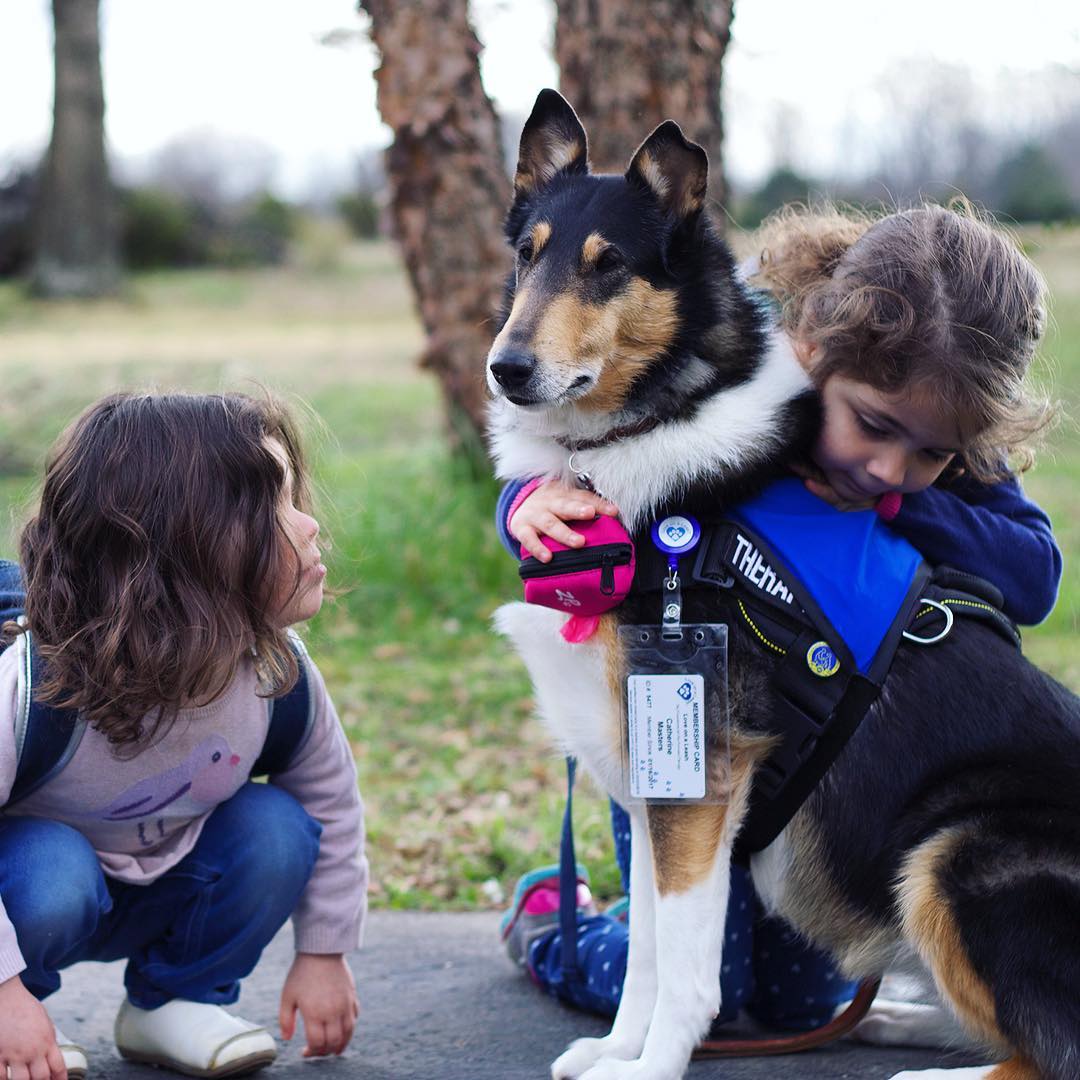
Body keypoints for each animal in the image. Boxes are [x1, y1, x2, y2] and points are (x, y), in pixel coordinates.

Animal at [488, 90, 1080, 1080]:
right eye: (527, 255)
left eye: (609, 268)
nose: (508, 369)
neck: (654, 428)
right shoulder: (660, 771)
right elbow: (647, 957)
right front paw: (616, 1054)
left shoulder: (705, 769)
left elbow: (689, 976)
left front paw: (652, 1068)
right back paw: (893, 1019)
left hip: (951, 855)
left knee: (1048, 1052)